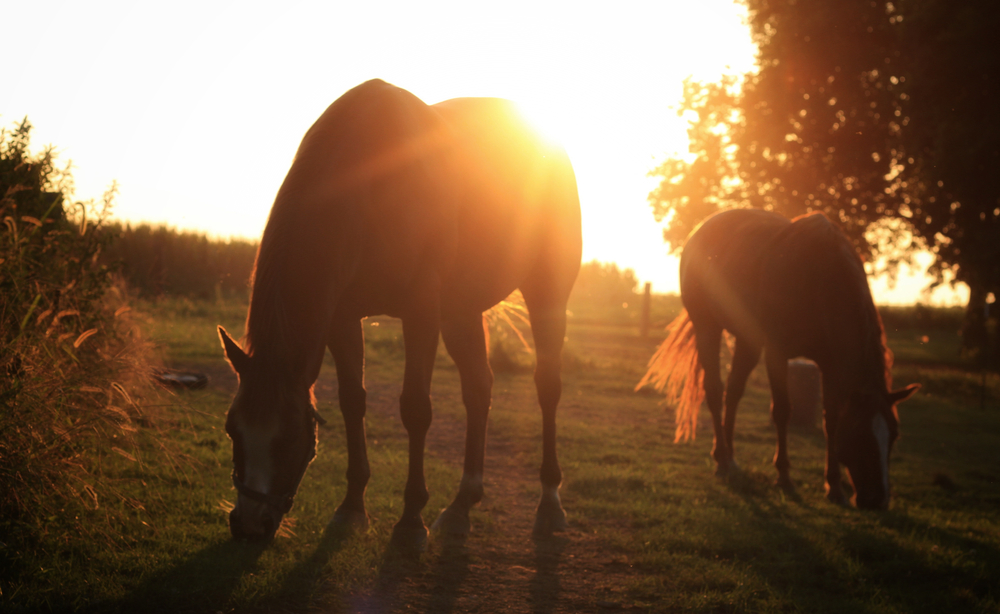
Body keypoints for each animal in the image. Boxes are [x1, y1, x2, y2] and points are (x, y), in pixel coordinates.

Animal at [217, 79, 580, 548]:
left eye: (290, 435)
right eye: (232, 428)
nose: (248, 525)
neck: (369, 184)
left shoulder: (420, 309)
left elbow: (415, 408)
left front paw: (410, 520)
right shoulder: (342, 317)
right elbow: (353, 401)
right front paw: (352, 507)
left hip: (546, 294)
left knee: (547, 387)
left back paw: (549, 502)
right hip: (460, 311)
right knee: (479, 388)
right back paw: (461, 504)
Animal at [644, 211, 916, 510]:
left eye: (894, 435)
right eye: (860, 433)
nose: (877, 500)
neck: (820, 280)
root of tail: (702, 229)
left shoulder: (830, 365)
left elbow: (830, 419)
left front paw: (833, 486)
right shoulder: (777, 352)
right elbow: (783, 411)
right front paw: (784, 476)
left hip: (748, 340)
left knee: (733, 392)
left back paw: (730, 458)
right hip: (707, 327)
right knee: (715, 391)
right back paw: (723, 461)